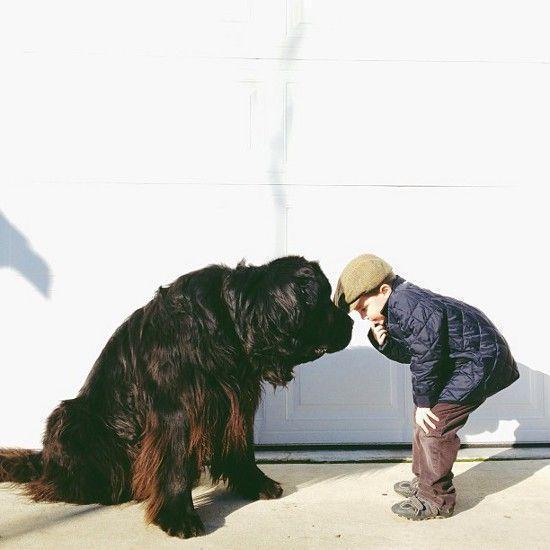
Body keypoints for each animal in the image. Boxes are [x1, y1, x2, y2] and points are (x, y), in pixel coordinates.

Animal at [0, 256, 354, 540]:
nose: (351, 320)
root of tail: (43, 460)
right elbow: (175, 462)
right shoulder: (177, 407)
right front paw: (178, 515)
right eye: (325, 301)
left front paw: (255, 483)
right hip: (71, 416)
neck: (228, 320)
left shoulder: (237, 400)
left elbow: (242, 448)